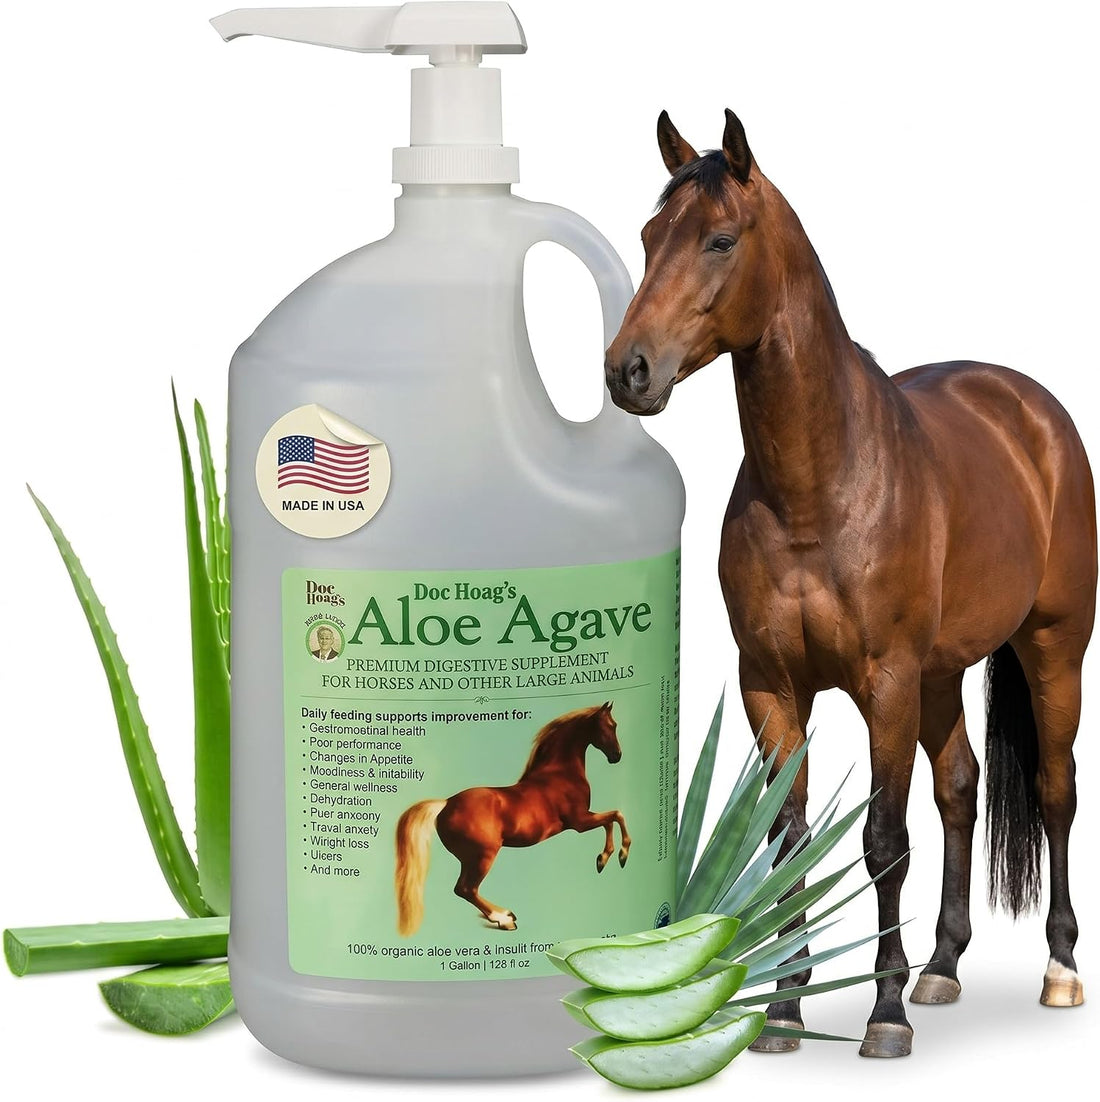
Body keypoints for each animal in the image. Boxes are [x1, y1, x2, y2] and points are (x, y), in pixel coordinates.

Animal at [394, 701, 629, 935]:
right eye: (610, 725)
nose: (616, 756)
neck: (559, 774)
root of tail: (446, 803)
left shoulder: (583, 819)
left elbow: (610, 821)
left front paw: (602, 860)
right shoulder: (579, 821)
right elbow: (616, 816)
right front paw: (620, 856)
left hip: (471, 859)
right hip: (483, 856)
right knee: (466, 889)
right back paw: (504, 919)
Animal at [604, 109, 1096, 1058]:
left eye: (720, 239)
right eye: (649, 236)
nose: (627, 370)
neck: (819, 488)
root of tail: (1031, 409)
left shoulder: (885, 684)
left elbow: (882, 841)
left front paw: (884, 1013)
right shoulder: (772, 686)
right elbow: (789, 842)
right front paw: (785, 1013)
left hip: (1051, 646)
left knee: (1055, 791)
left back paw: (1058, 970)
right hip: (943, 673)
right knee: (961, 787)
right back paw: (944, 967)